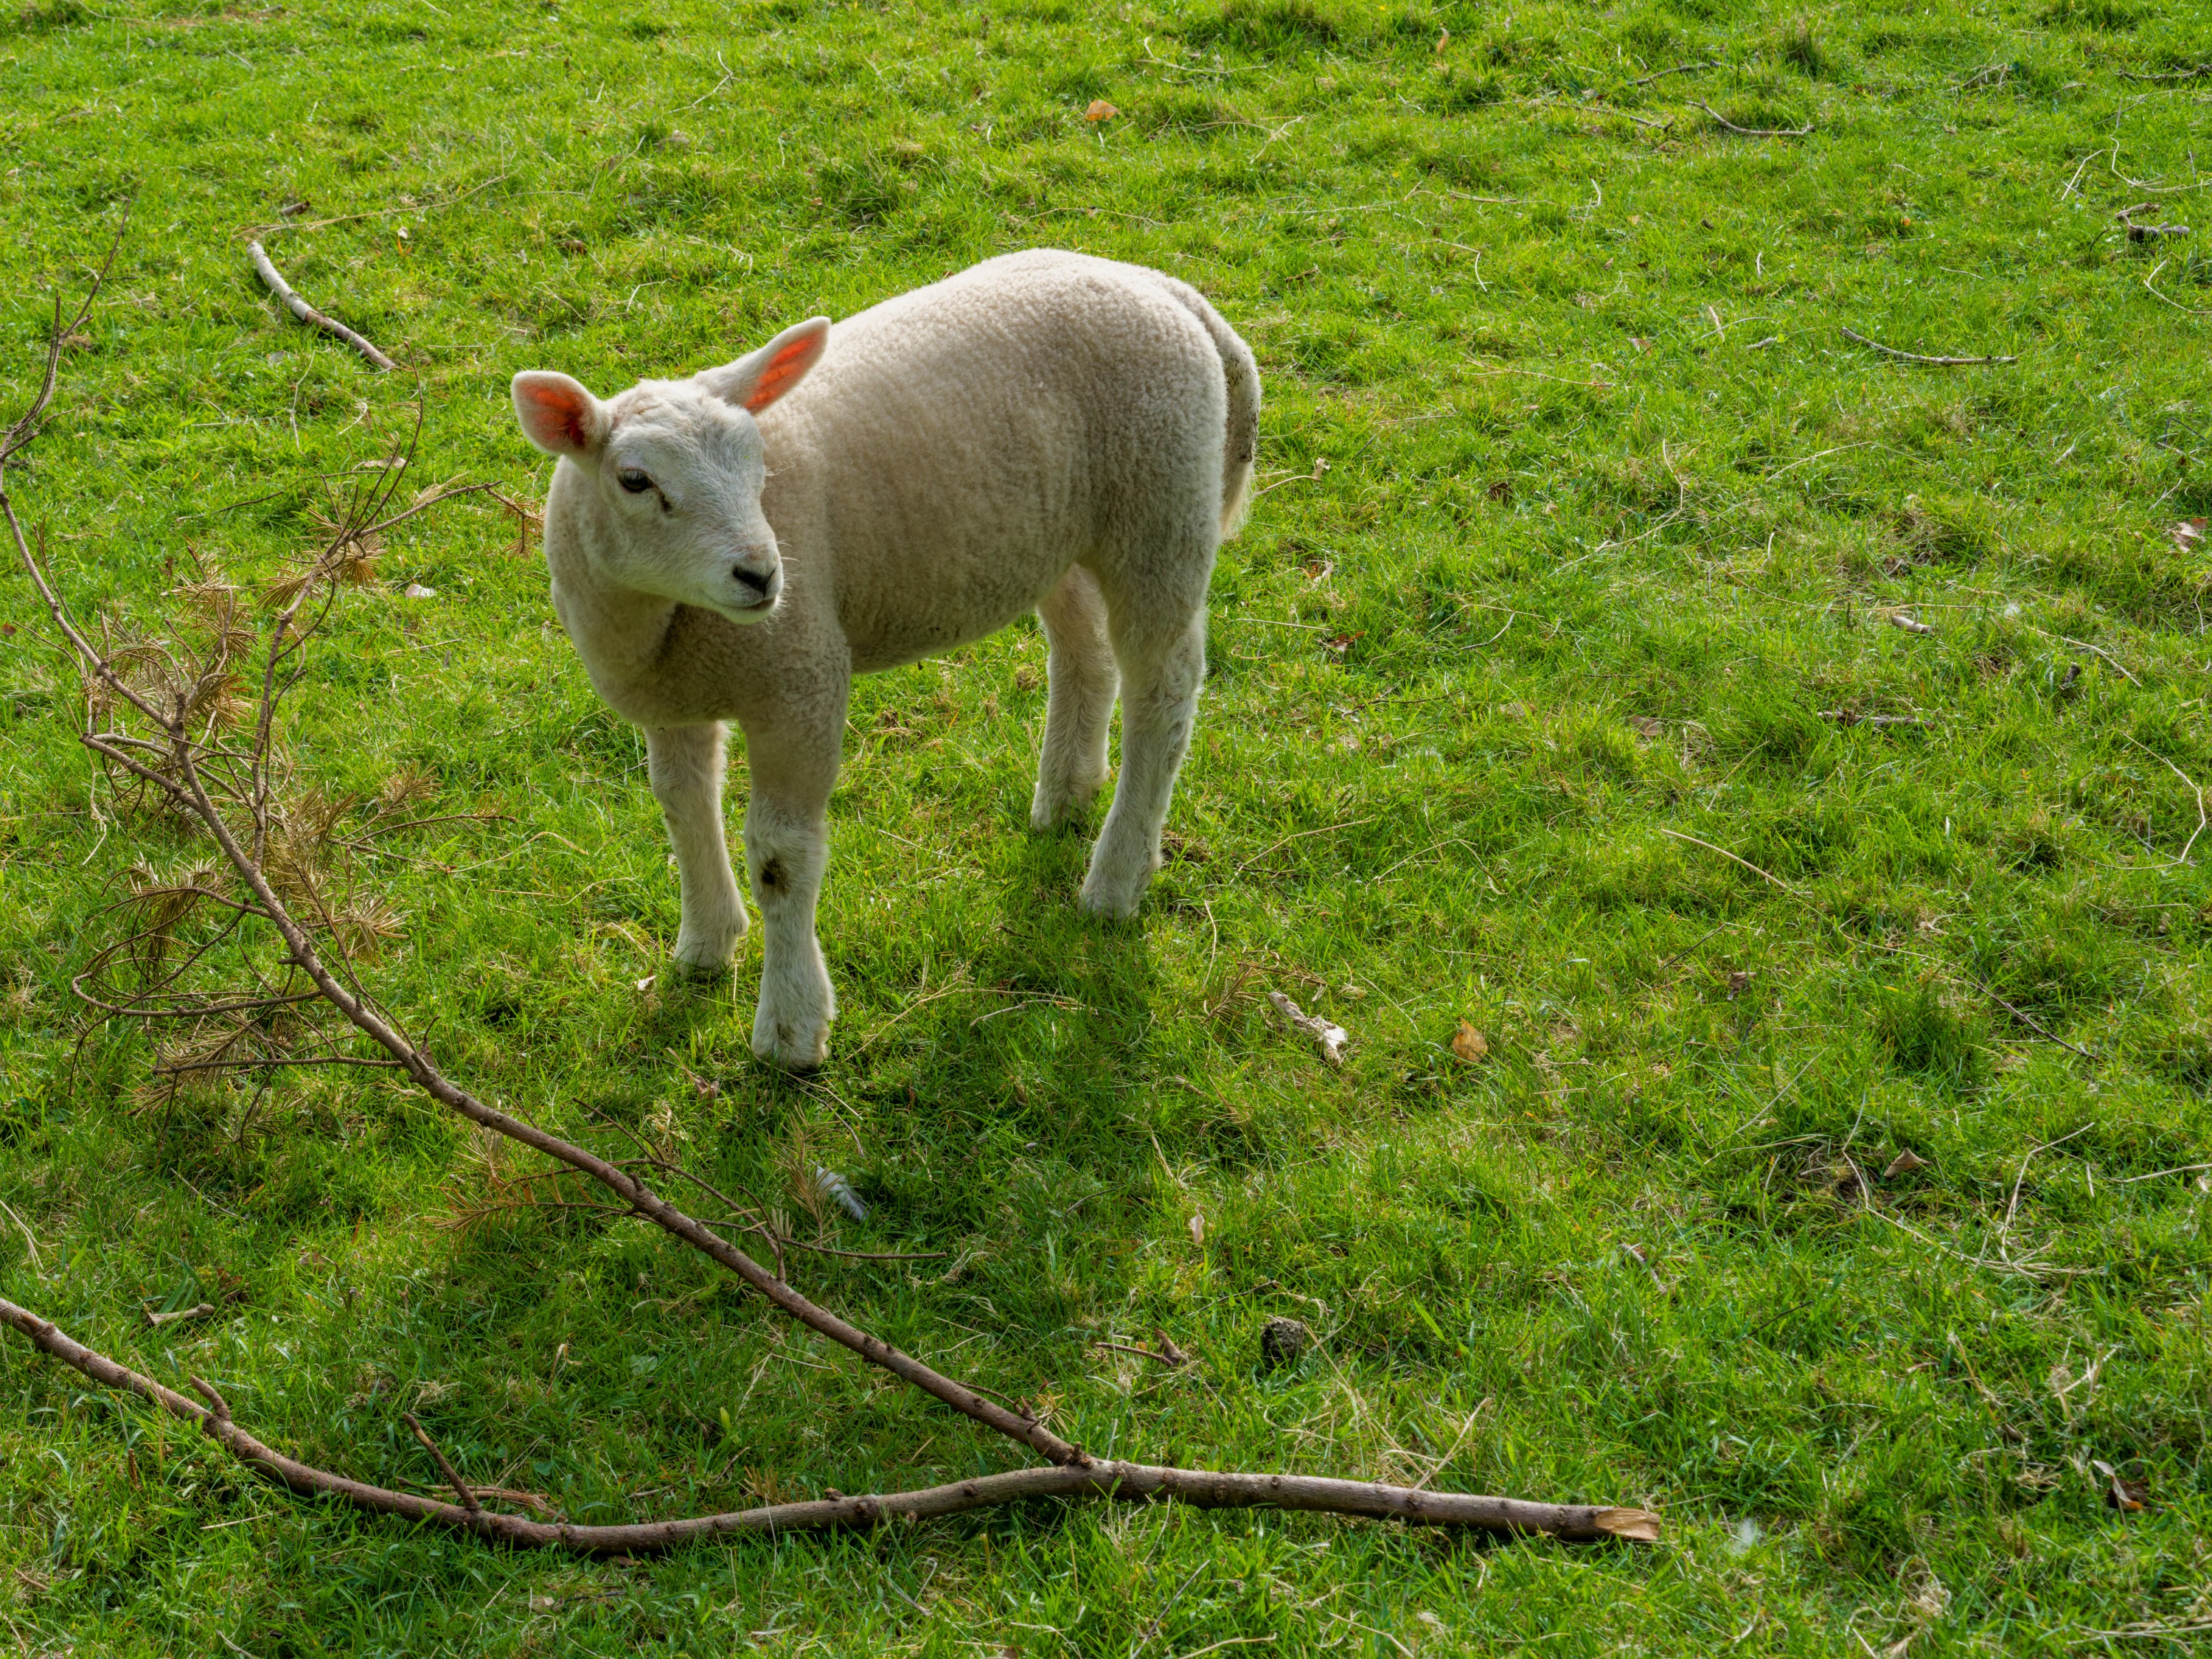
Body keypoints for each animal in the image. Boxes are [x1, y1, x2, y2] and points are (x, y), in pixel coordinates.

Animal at [511, 249, 1260, 1069]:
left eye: (757, 464)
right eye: (635, 481)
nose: (763, 575)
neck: (659, 619)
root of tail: (1165, 289)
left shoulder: (800, 679)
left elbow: (781, 858)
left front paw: (790, 1029)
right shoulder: (671, 699)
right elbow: (681, 808)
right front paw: (705, 944)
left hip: (1160, 514)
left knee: (1165, 694)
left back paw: (1116, 879)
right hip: (1056, 529)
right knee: (1083, 650)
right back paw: (1065, 793)